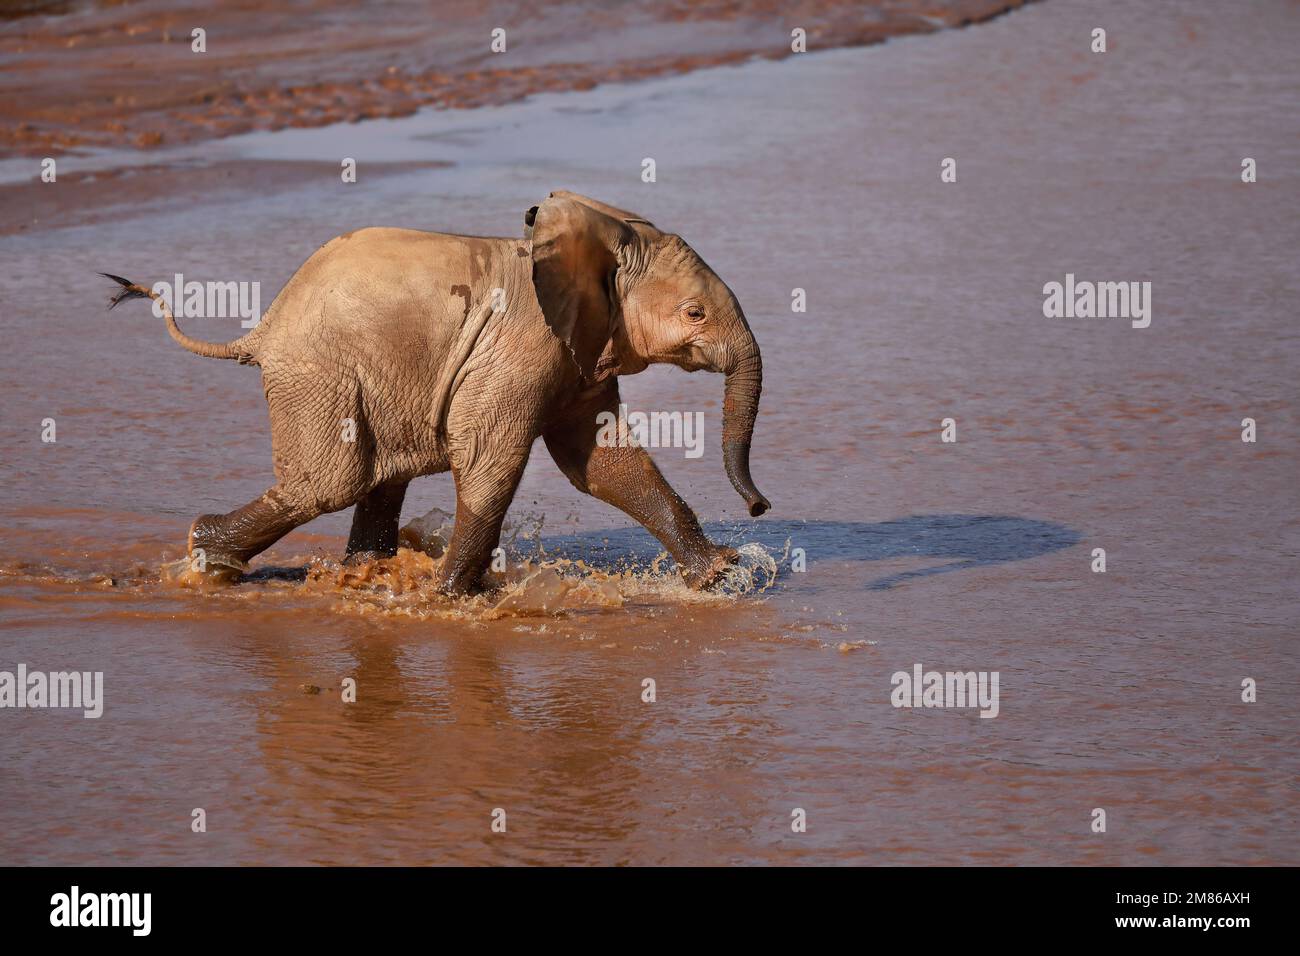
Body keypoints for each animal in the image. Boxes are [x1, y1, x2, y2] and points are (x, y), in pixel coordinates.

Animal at [109, 191, 769, 595]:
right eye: (695, 313)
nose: (759, 508)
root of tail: (263, 327)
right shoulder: (520, 349)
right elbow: (491, 460)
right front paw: (449, 597)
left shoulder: (576, 354)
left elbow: (604, 464)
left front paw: (721, 578)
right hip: (319, 372)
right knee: (330, 482)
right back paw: (209, 559)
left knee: (377, 478)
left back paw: (359, 570)